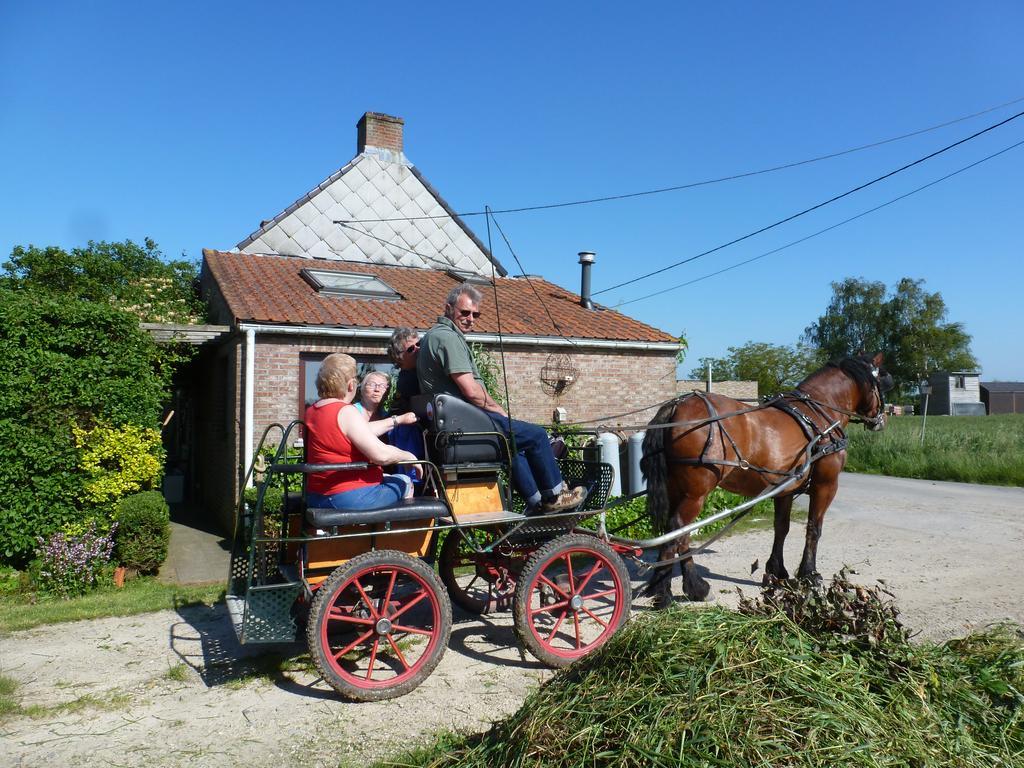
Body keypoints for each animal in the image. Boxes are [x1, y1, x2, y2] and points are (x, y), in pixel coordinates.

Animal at [643, 354, 892, 606]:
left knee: (674, 535)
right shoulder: (826, 484)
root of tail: (677, 406)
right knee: (679, 530)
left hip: (677, 489)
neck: (820, 414)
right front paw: (810, 574)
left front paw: (777, 571)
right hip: (696, 493)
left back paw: (676, 587)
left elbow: (781, 527)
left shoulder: (785, 489)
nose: (882, 419)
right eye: (882, 382)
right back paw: (676, 591)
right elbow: (814, 528)